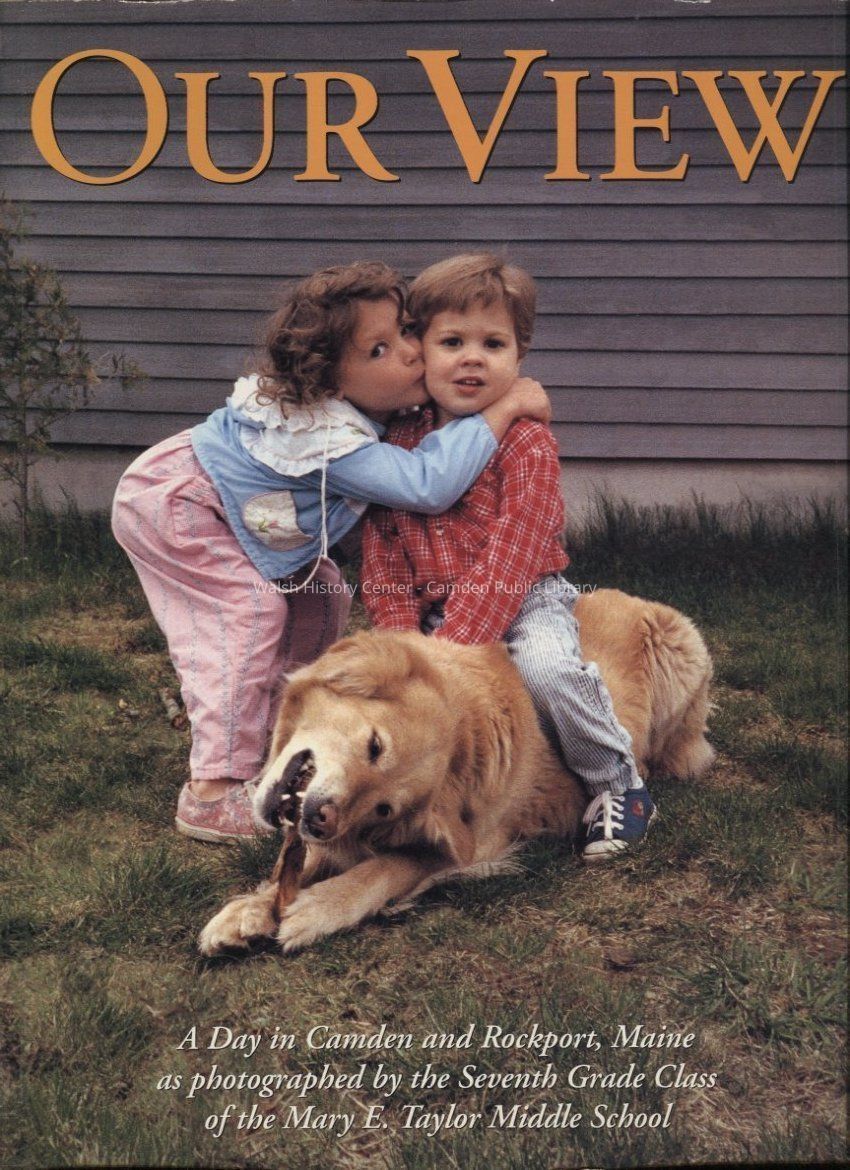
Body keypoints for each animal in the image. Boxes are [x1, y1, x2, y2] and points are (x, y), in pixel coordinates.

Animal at [198, 588, 713, 956]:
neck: (469, 731)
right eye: (374, 746)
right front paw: (250, 910)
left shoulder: (478, 844)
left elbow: (388, 867)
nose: (323, 819)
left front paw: (319, 907)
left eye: (384, 807)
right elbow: (301, 863)